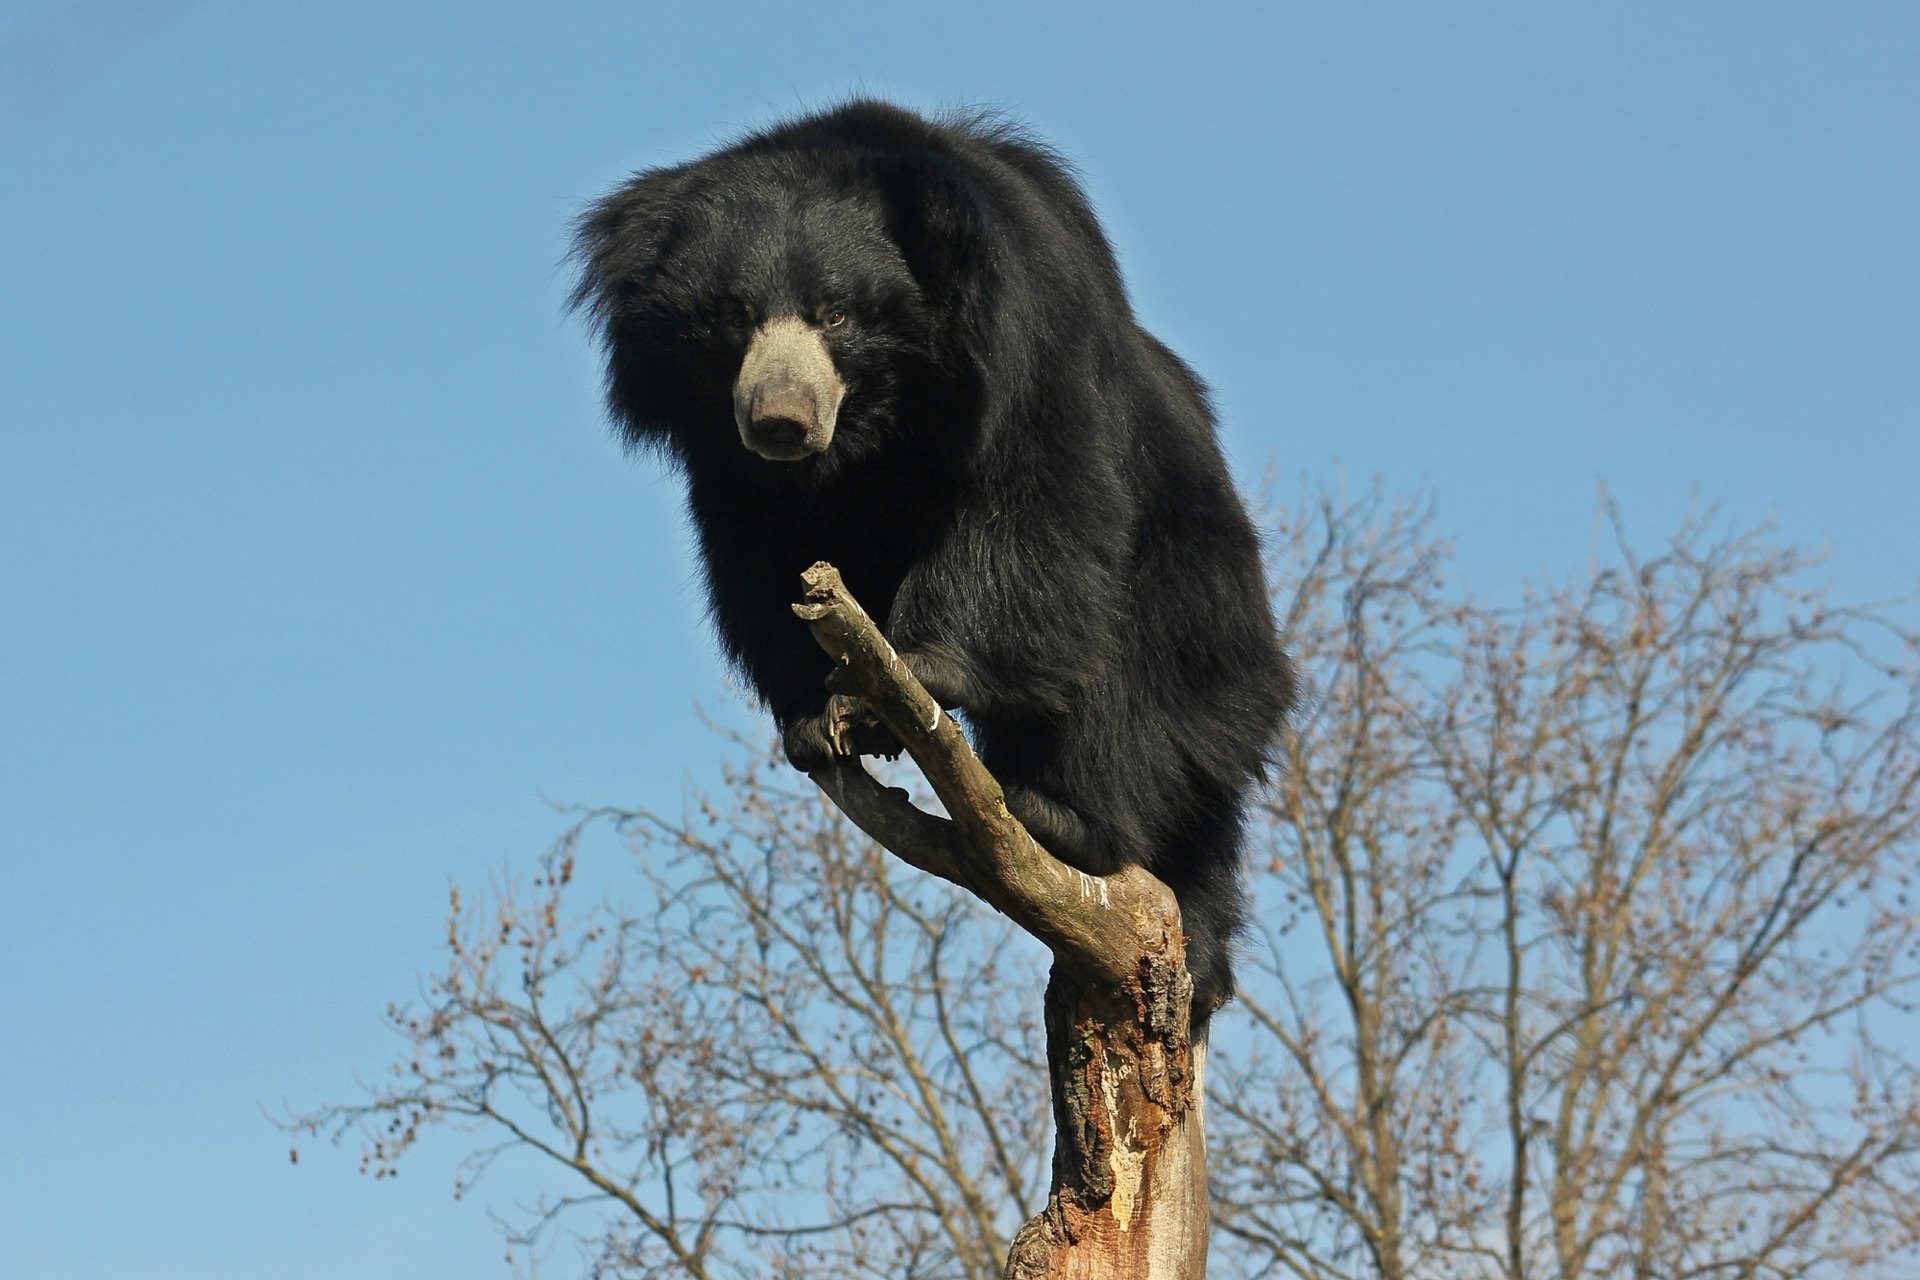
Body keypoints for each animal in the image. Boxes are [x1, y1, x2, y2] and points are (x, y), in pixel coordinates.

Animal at [570, 100, 1292, 1020]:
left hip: (1198, 613)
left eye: (836, 313)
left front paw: (915, 673)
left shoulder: (1029, 325)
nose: (781, 420)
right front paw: (816, 717)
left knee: (1131, 688)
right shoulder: (734, 473)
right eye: (732, 314)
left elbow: (1027, 492)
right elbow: (764, 558)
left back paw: (1067, 818)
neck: (879, 419)